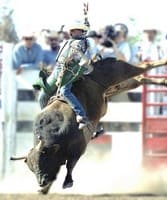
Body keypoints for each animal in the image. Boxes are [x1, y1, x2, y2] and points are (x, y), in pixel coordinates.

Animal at [10, 57, 167, 194]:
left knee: (145, 66)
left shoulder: (79, 148)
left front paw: (67, 182)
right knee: (138, 80)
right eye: (31, 167)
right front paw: (44, 190)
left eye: (43, 161)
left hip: (118, 71)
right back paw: (162, 80)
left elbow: (70, 165)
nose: (41, 182)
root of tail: (92, 64)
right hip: (115, 87)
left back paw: (163, 69)